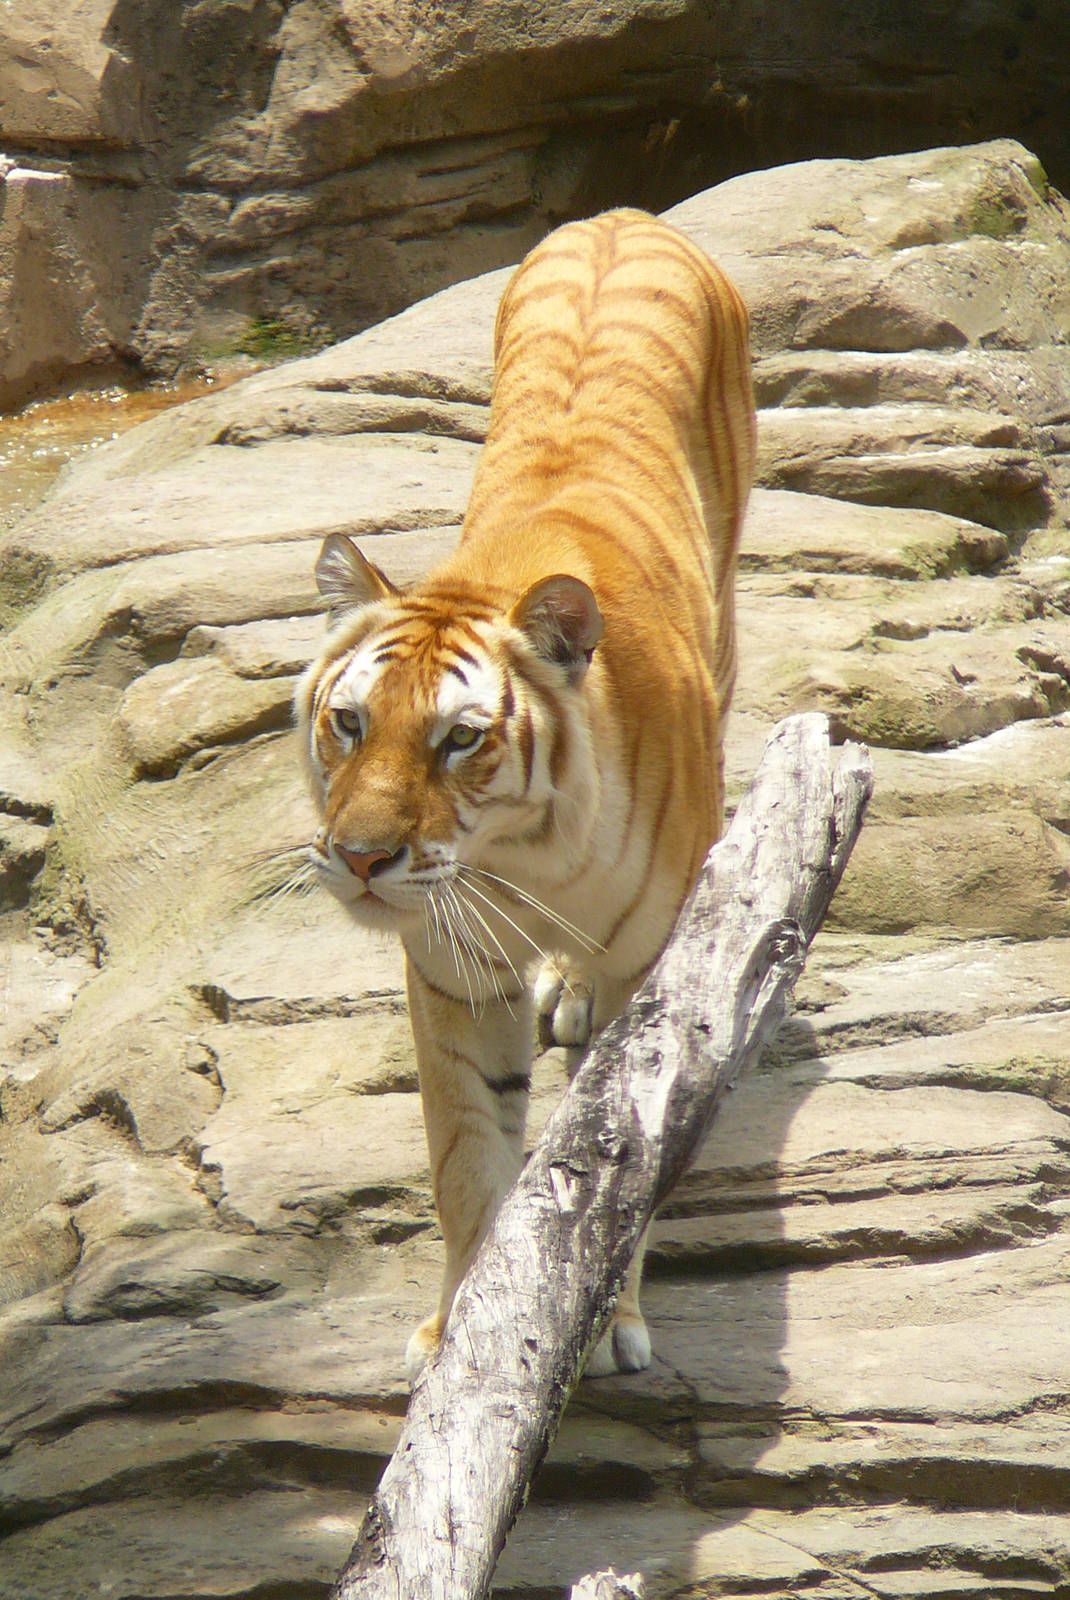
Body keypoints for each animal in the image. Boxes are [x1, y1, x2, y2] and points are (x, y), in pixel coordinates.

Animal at [295, 207, 755, 1381]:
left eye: (459, 740)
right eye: (349, 723)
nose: (360, 859)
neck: (517, 854)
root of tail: (623, 217)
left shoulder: (650, 967)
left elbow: (618, 1144)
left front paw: (611, 1319)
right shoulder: (450, 971)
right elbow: (466, 1153)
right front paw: (459, 1323)